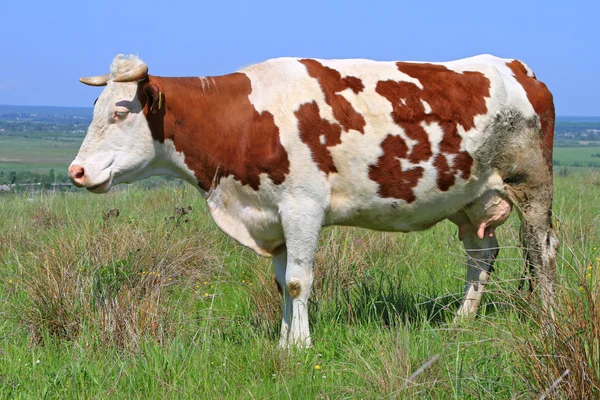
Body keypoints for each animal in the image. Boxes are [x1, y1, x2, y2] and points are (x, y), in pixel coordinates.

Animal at [69, 53, 556, 346]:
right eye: (94, 109)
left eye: (119, 113)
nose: (76, 171)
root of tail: (515, 66)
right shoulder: (271, 215)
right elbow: (282, 281)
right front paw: (284, 342)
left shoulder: (302, 207)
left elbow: (299, 281)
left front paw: (301, 346)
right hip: (470, 199)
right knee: (481, 254)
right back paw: (462, 320)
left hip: (533, 186)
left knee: (542, 251)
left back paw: (547, 320)